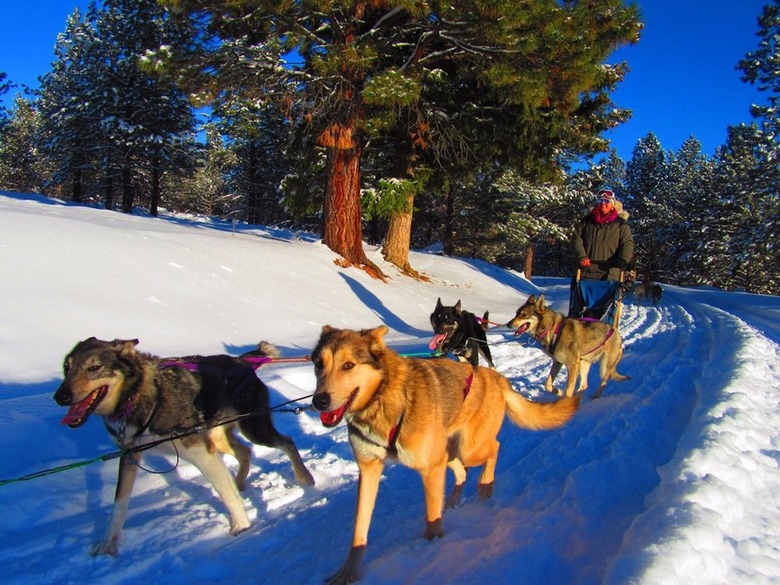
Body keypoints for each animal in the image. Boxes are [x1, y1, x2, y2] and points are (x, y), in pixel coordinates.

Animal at [51, 336, 316, 556]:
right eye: (67, 368)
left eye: (94, 367)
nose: (60, 396)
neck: (140, 397)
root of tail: (242, 361)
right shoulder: (130, 456)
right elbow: (119, 505)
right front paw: (108, 545)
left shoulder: (202, 453)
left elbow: (224, 493)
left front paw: (241, 525)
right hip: (219, 437)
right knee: (246, 452)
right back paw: (240, 483)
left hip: (253, 428)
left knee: (286, 442)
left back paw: (305, 477)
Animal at [310, 326, 580, 580]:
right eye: (318, 364)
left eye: (348, 365)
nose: (319, 401)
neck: (382, 398)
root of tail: (495, 376)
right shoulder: (369, 470)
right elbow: (359, 530)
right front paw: (348, 573)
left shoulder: (430, 469)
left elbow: (431, 517)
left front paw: (433, 545)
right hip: (448, 454)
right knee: (462, 473)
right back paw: (451, 502)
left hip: (469, 449)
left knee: (494, 448)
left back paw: (485, 485)